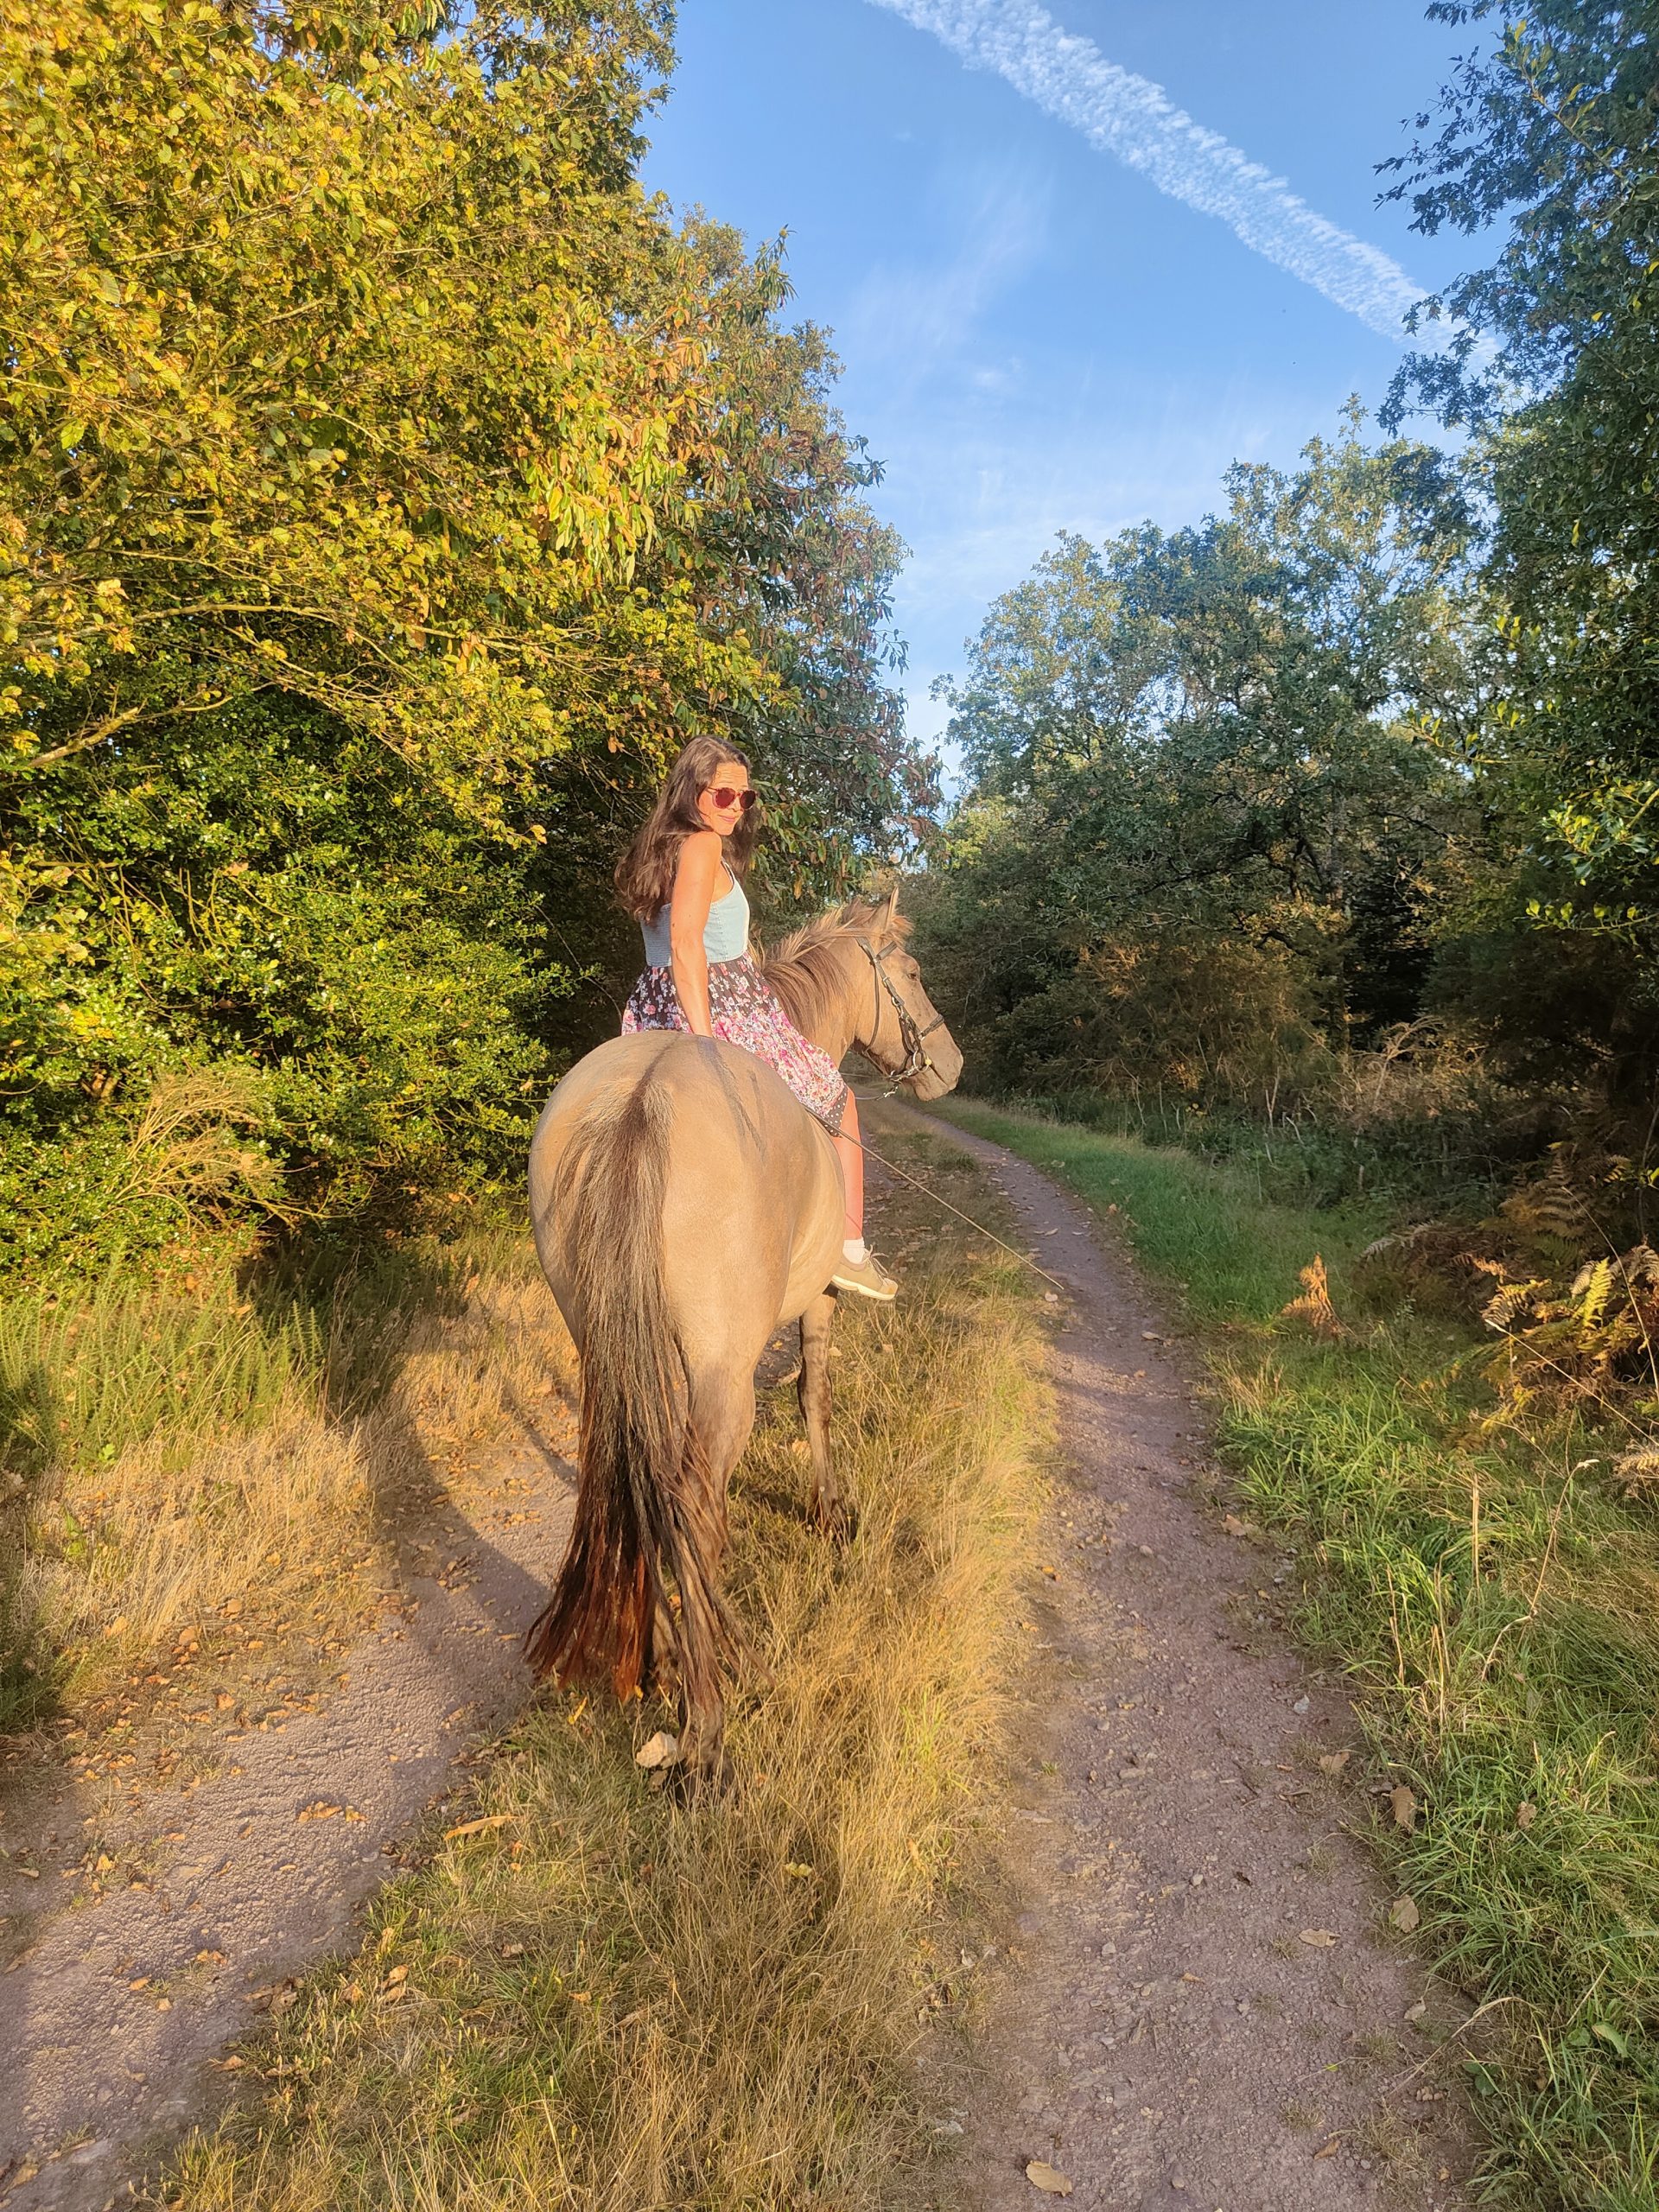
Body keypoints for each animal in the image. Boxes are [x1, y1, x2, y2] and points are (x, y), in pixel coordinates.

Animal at [523, 894, 963, 1787]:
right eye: (909, 972)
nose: (952, 1064)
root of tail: (640, 1100)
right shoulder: (818, 1298)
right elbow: (815, 1393)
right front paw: (832, 1513)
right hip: (719, 1377)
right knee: (692, 1499)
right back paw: (705, 1732)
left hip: (612, 1357)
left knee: (637, 1479)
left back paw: (659, 1662)